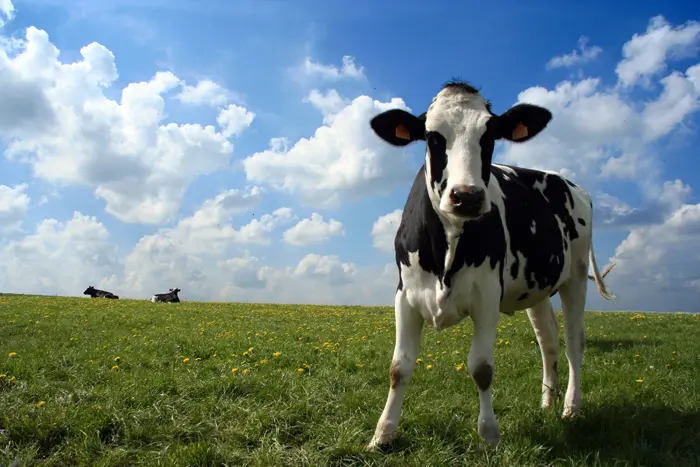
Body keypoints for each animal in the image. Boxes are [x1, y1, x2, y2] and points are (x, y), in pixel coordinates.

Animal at [364, 80, 616, 450]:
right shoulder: (405, 296)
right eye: (432, 137)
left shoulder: (486, 297)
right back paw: (547, 401)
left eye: (490, 135)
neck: (449, 243)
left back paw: (571, 406)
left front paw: (489, 434)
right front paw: (382, 434)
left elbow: (481, 368)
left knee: (574, 341)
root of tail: (570, 183)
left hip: (576, 278)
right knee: (548, 339)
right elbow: (399, 367)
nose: (466, 196)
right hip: (537, 289)